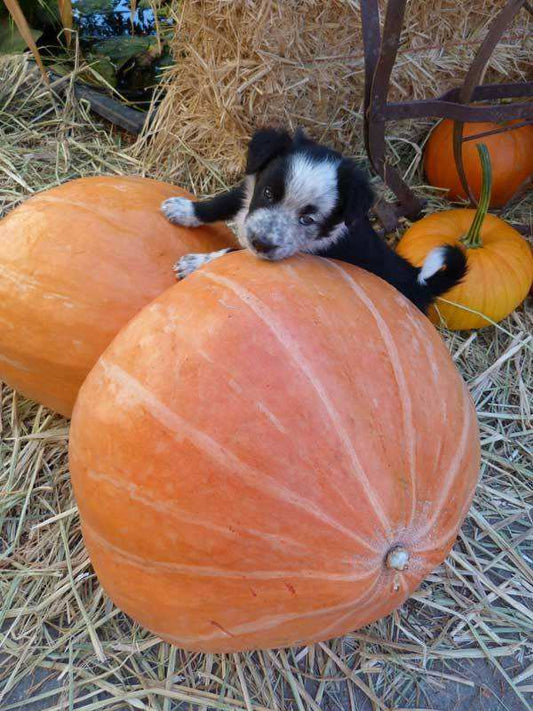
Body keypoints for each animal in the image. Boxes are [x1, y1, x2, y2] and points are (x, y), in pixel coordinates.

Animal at [160, 129, 464, 312]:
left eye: (307, 219)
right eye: (268, 193)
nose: (260, 243)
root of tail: (417, 279)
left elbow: (231, 253)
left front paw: (194, 263)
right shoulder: (250, 193)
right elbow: (221, 202)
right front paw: (183, 209)